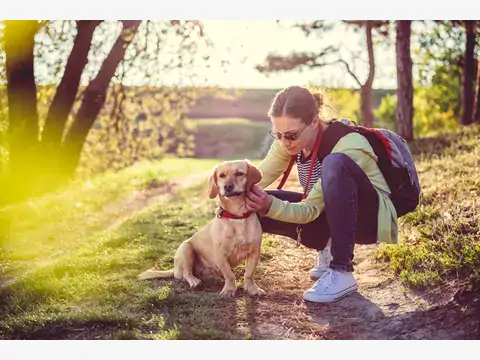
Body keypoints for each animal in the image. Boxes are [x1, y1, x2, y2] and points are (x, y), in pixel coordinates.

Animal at [137, 160, 266, 298]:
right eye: (222, 175)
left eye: (239, 173)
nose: (227, 186)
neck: (236, 217)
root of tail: (174, 270)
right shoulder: (221, 256)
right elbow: (230, 275)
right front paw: (229, 290)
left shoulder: (254, 252)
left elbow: (249, 274)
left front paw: (252, 289)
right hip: (186, 248)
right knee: (186, 273)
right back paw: (194, 281)